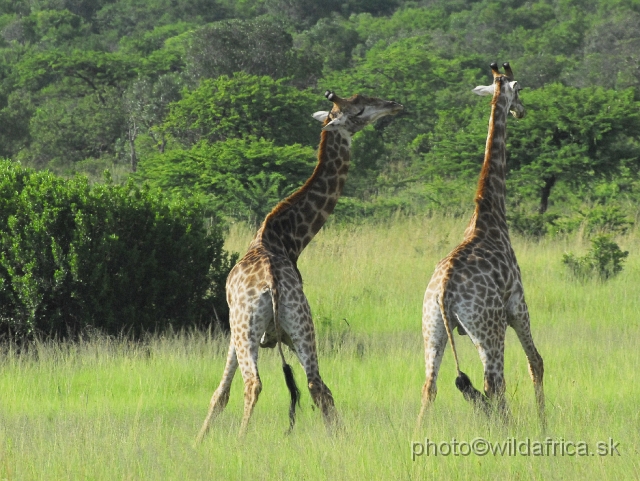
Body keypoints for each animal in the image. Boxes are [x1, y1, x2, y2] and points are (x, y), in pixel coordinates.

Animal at [198, 90, 402, 438]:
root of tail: (272, 285)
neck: (284, 238)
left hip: (251, 328)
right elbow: (221, 393)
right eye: (359, 108)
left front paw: (201, 441)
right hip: (299, 325)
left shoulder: (234, 326)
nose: (394, 105)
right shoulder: (279, 334)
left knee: (255, 384)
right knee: (317, 385)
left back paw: (241, 440)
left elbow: (219, 393)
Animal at [420, 63, 544, 428]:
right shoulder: (517, 304)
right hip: (488, 327)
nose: (521, 110)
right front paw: (544, 424)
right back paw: (507, 430)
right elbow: (536, 363)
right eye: (519, 91)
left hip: (432, 328)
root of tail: (444, 293)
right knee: (494, 382)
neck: (489, 213)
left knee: (430, 385)